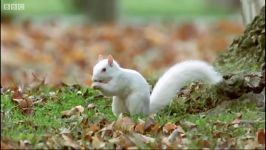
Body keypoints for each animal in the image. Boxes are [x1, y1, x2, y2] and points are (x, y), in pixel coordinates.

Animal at [91, 55, 222, 116]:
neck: (114, 74)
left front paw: (96, 85)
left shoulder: (120, 80)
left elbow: (112, 89)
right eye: (94, 67)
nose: (93, 78)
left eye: (104, 69)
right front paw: (94, 84)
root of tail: (147, 109)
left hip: (134, 101)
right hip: (117, 104)